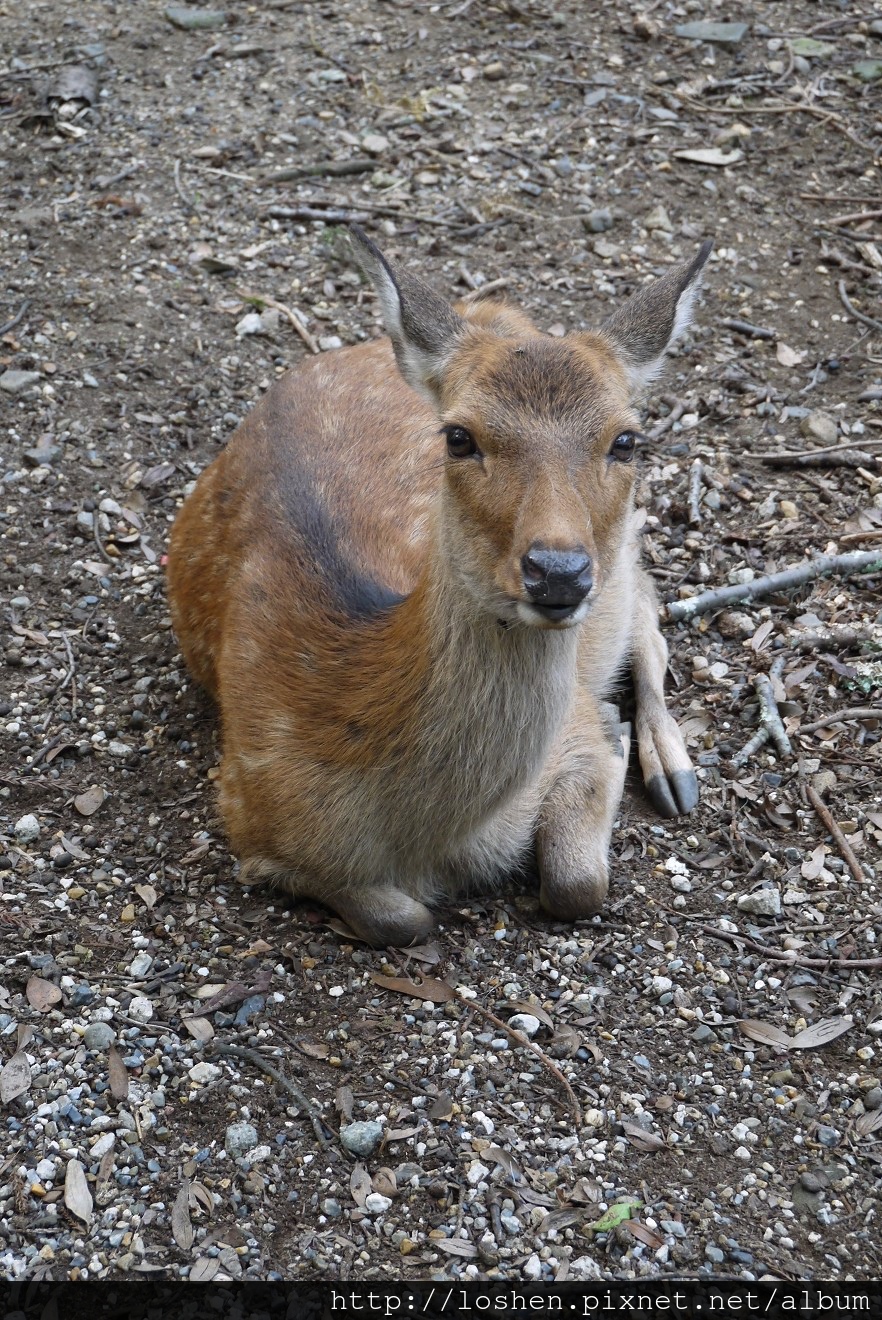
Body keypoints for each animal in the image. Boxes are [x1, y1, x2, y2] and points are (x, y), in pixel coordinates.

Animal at [167, 229, 707, 950]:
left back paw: (672, 768)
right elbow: (403, 919)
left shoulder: (573, 736)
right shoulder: (248, 811)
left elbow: (577, 883)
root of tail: (496, 312)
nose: (557, 571)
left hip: (619, 569)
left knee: (647, 602)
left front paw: (617, 738)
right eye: (458, 435)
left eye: (626, 439)